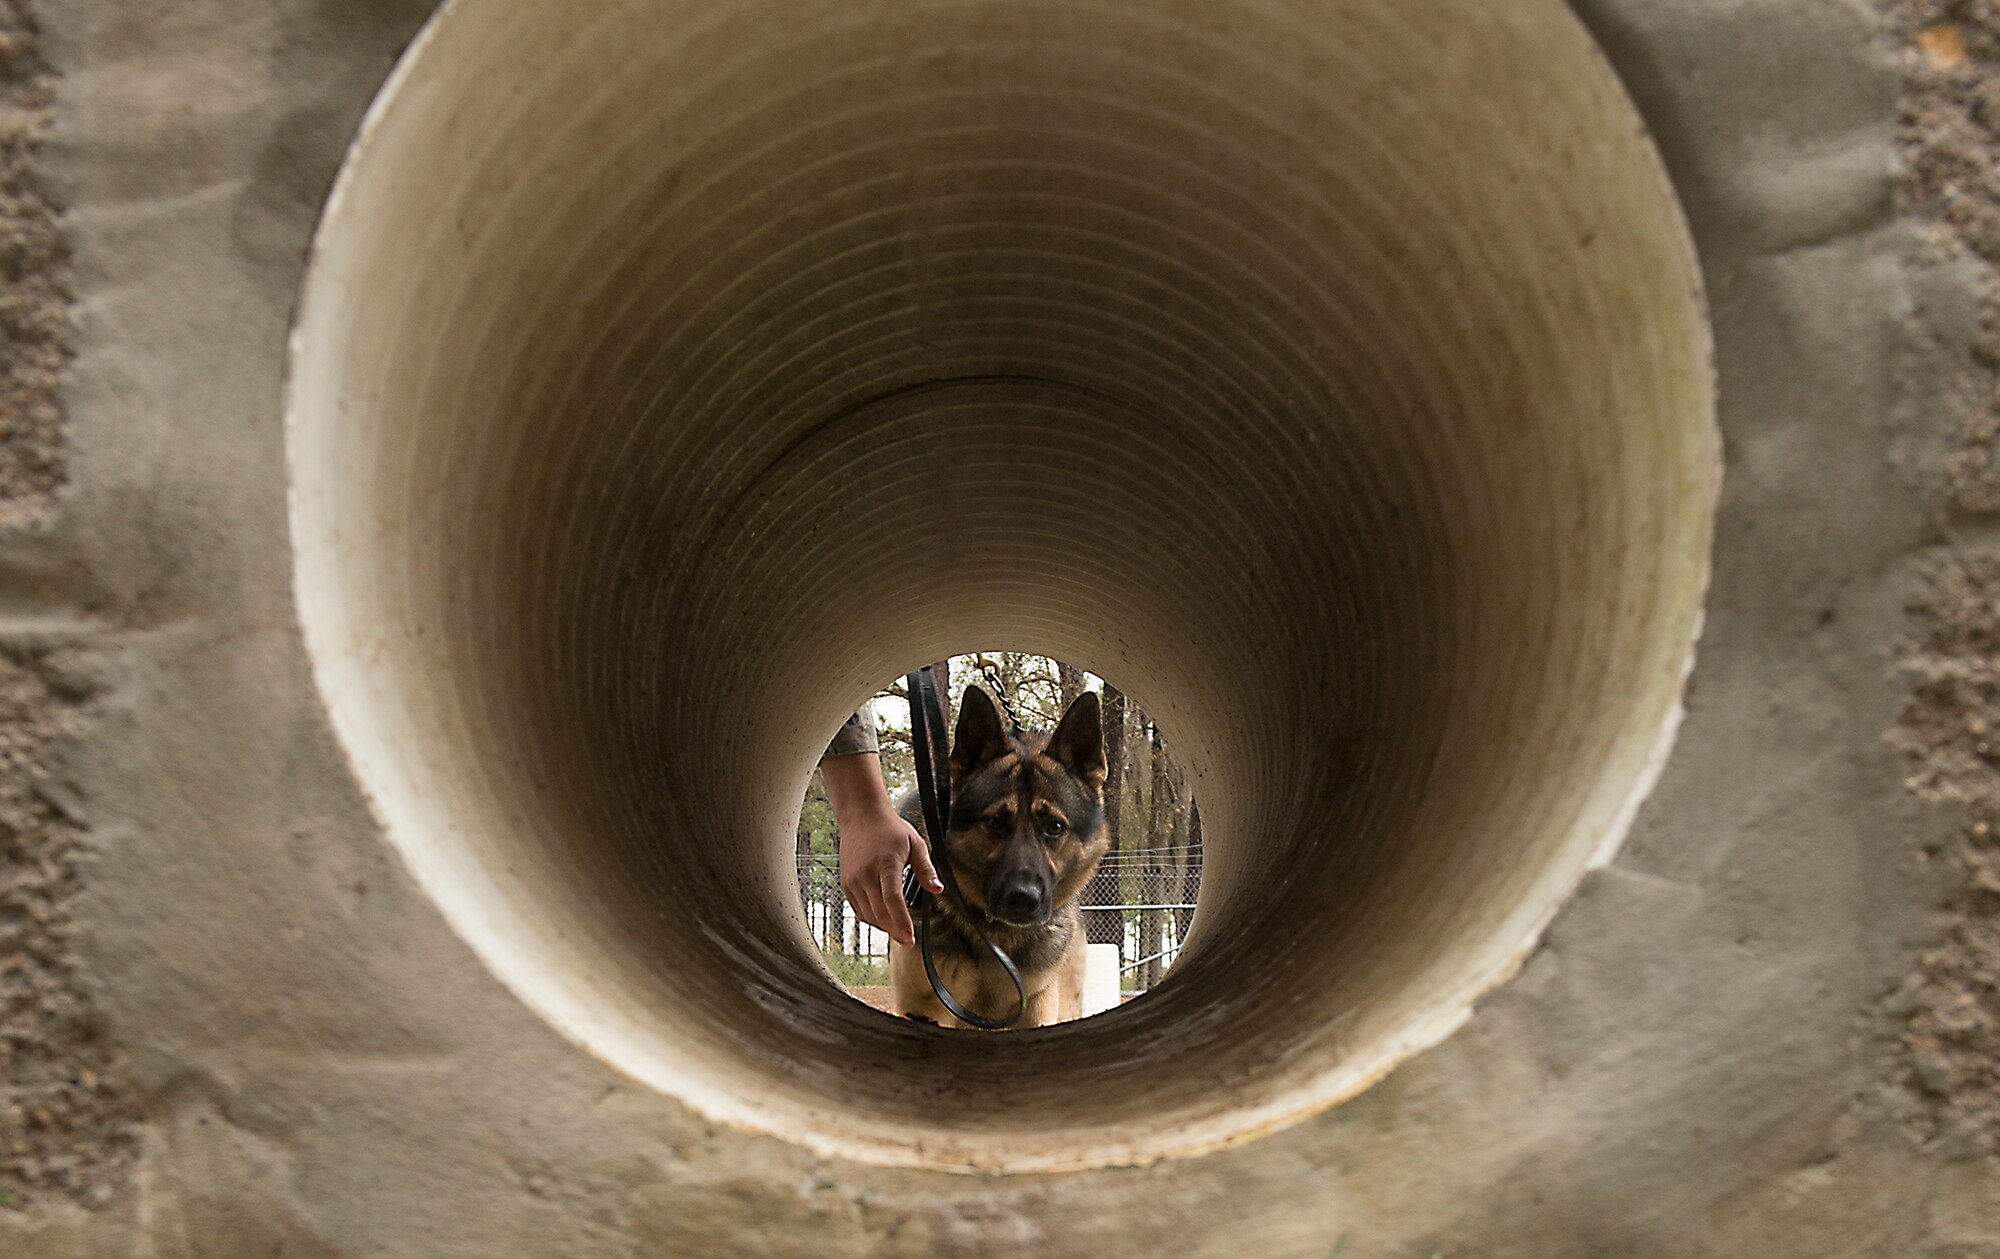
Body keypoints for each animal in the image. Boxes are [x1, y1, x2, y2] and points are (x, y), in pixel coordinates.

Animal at [892, 687, 1112, 1031]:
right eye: (994, 822)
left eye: (1055, 827)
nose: (1022, 899)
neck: (996, 939)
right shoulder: (925, 1008)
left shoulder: (1037, 1007)